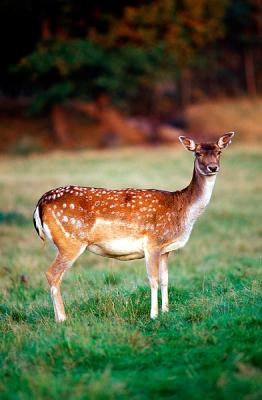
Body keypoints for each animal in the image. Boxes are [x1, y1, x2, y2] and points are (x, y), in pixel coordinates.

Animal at [33, 134, 234, 322]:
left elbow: (165, 279)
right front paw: (154, 315)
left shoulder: (166, 249)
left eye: (219, 152)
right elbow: (153, 279)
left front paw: (166, 311)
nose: (213, 167)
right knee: (52, 273)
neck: (182, 211)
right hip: (70, 241)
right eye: (197, 153)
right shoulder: (153, 242)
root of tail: (40, 204)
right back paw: (62, 319)